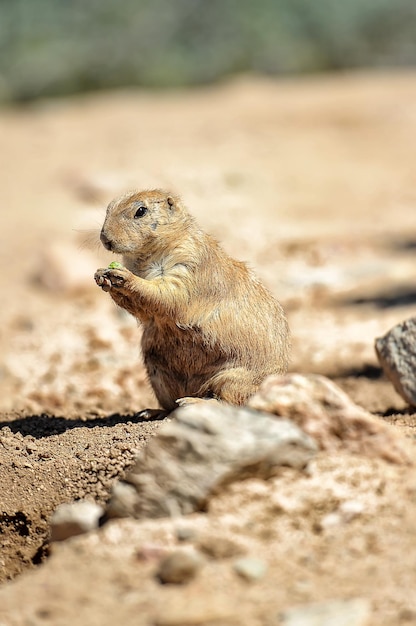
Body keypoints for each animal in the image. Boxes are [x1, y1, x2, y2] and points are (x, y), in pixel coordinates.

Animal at [94, 189, 290, 410]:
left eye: (140, 211)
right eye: (109, 207)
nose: (105, 238)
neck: (146, 256)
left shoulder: (188, 263)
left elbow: (168, 293)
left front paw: (121, 276)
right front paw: (101, 276)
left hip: (235, 378)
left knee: (230, 402)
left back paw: (192, 401)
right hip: (156, 373)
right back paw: (152, 411)